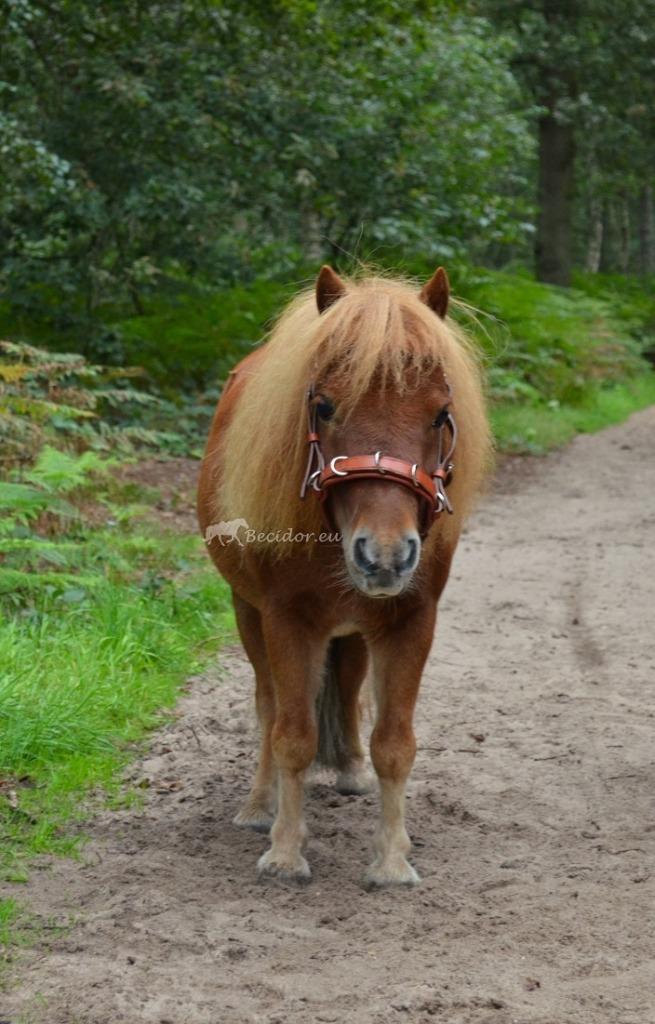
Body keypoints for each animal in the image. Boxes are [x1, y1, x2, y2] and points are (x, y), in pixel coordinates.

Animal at [197, 265, 491, 887]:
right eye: (325, 407)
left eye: (439, 414)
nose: (385, 556)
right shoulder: (287, 621)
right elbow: (291, 734)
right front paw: (285, 851)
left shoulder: (410, 622)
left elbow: (395, 744)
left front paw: (392, 859)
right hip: (247, 611)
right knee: (267, 703)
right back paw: (259, 806)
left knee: (351, 680)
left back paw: (352, 771)